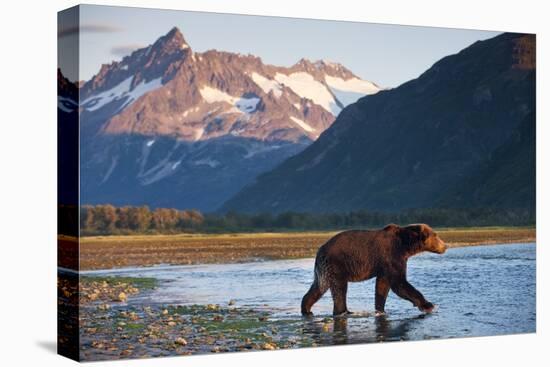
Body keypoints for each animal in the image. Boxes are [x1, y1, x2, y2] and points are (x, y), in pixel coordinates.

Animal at [302, 223, 448, 318]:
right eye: (436, 235)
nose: (445, 246)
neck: (404, 245)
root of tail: (320, 250)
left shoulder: (384, 266)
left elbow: (382, 286)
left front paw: (381, 309)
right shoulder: (392, 256)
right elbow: (399, 284)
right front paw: (428, 305)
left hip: (324, 270)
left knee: (318, 287)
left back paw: (307, 309)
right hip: (337, 264)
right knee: (339, 288)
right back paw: (343, 311)